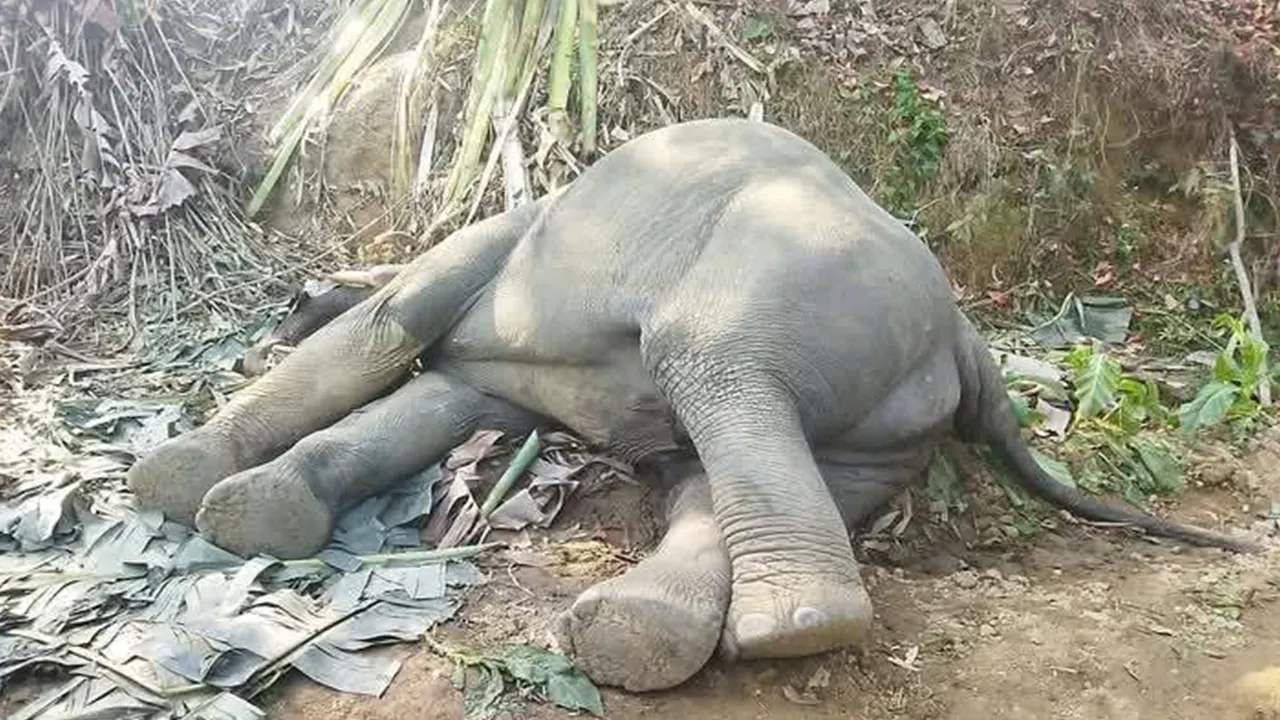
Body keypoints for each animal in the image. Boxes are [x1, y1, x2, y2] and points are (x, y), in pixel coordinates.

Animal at [129, 116, 1259, 691]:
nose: (268, 319)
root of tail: (965, 334)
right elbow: (435, 401)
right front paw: (253, 514)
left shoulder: (491, 242)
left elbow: (386, 329)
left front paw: (173, 485)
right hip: (890, 417)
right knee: (721, 476)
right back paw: (653, 637)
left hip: (785, 283)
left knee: (712, 374)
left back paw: (786, 628)